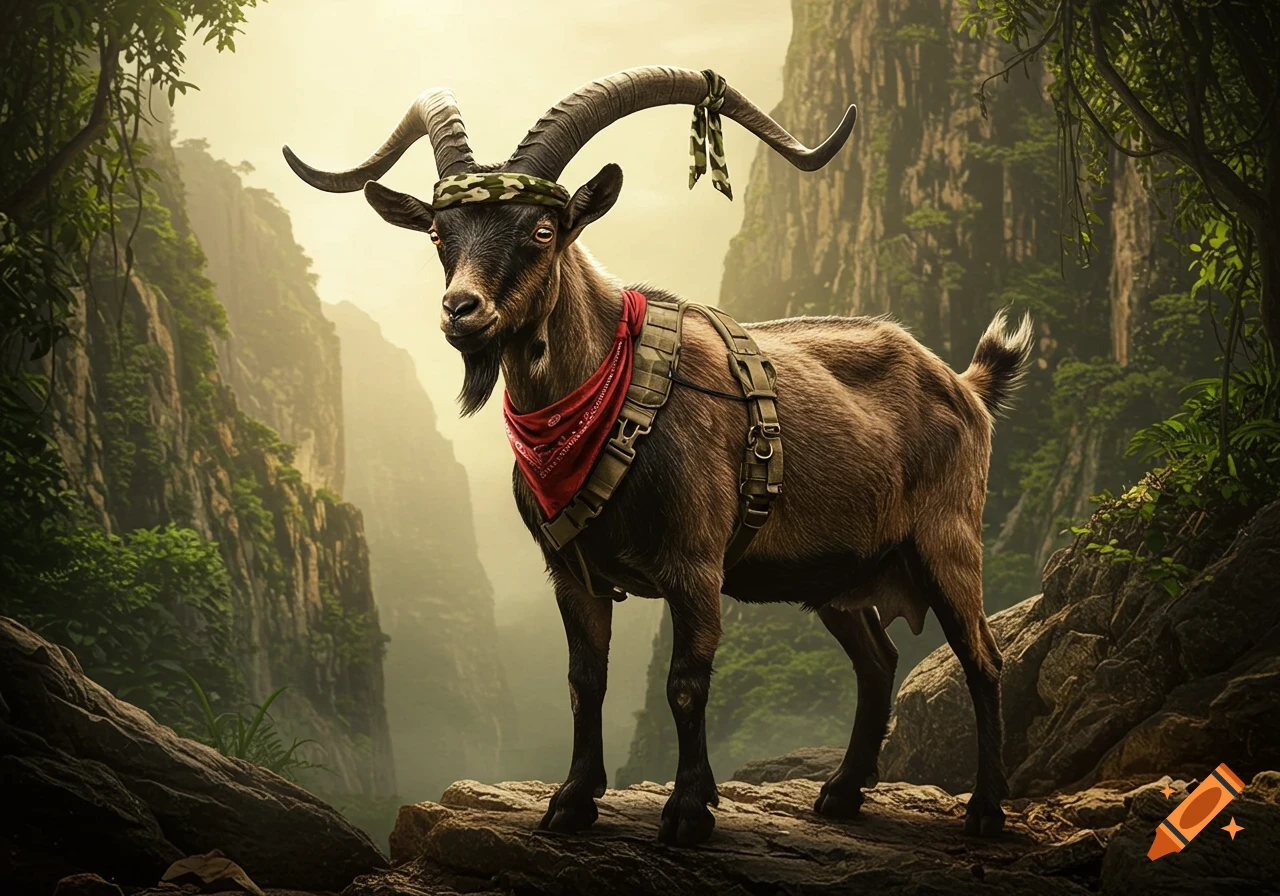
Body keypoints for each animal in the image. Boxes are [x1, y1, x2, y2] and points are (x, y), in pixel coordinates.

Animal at [285, 66, 1033, 847]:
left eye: (543, 229)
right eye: (438, 231)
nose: (462, 311)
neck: (608, 401)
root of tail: (965, 385)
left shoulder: (696, 566)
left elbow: (685, 683)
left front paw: (686, 811)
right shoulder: (571, 572)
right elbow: (585, 682)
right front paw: (571, 802)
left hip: (947, 542)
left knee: (982, 658)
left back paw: (984, 810)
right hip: (840, 573)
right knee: (878, 659)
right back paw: (841, 793)